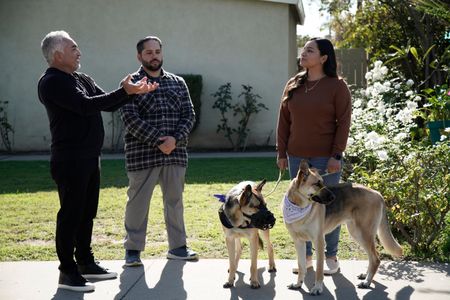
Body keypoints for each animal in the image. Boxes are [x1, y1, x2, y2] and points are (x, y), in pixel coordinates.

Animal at [284, 161, 402, 294]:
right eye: (317, 184)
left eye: (323, 182)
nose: (333, 197)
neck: (299, 206)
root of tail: (378, 193)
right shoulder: (298, 242)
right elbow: (301, 266)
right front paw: (298, 284)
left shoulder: (319, 242)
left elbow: (319, 269)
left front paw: (318, 287)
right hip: (357, 234)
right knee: (372, 257)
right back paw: (366, 276)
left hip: (363, 234)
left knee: (376, 258)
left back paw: (367, 282)